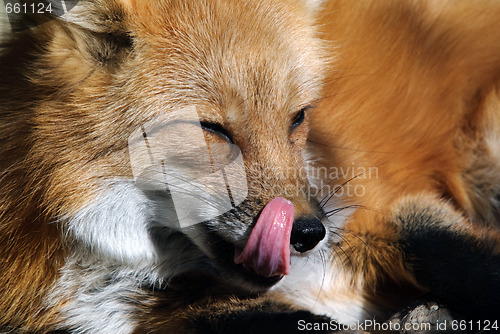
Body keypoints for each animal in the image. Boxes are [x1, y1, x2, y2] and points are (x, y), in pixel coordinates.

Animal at [0, 0, 500, 332]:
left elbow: (450, 249)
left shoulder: (372, 201)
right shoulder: (159, 308)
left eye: (297, 117)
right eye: (214, 130)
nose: (308, 234)